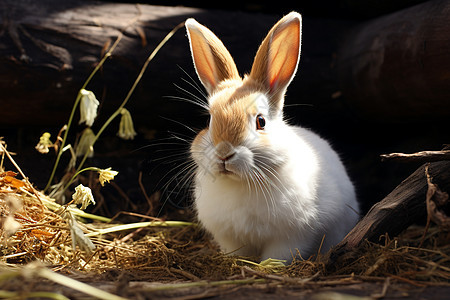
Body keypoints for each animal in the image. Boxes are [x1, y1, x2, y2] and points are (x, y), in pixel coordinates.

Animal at [184, 11, 358, 262]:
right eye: (209, 121)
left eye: (261, 121)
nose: (224, 153)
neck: (242, 182)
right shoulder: (231, 238)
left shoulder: (292, 237)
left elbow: (278, 256)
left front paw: (268, 266)